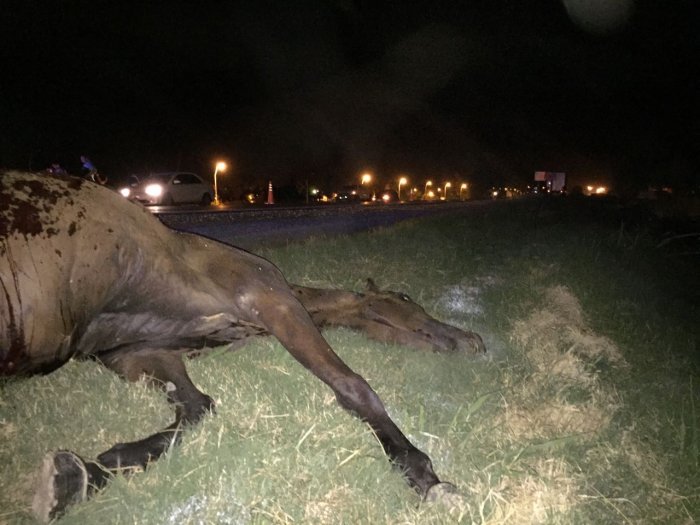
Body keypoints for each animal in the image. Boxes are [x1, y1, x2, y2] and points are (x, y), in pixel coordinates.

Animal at [0, 173, 484, 520]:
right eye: (406, 299)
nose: (474, 340)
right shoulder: (272, 299)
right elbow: (353, 387)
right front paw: (426, 477)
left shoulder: (137, 353)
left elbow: (197, 407)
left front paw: (80, 475)